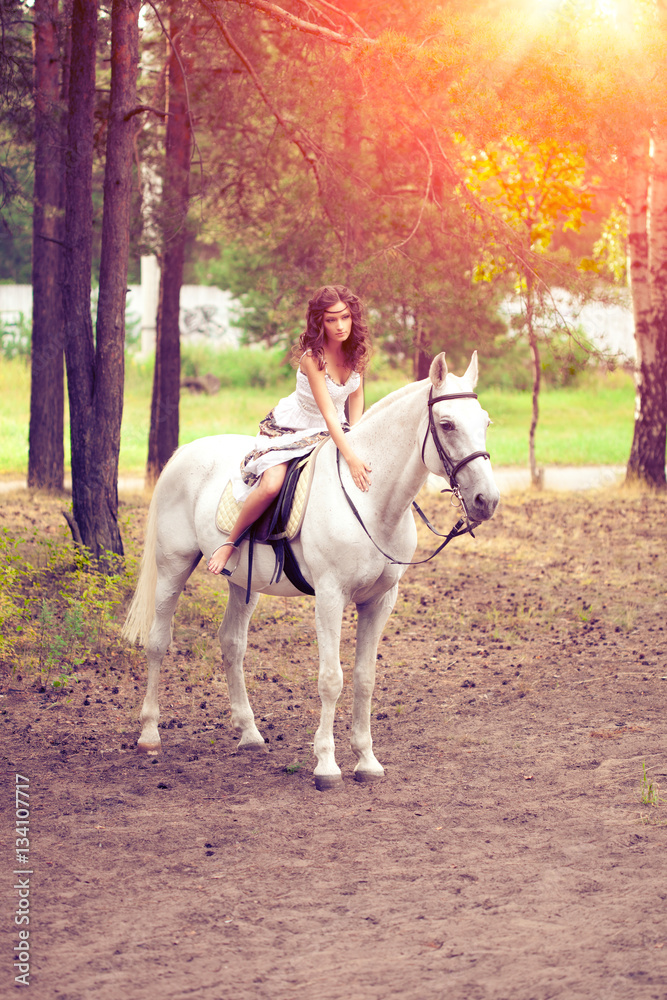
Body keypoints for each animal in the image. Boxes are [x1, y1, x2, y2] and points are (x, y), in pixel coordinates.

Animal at [123, 352, 500, 789]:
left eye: (485, 422)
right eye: (447, 424)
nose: (487, 500)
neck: (370, 499)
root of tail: (184, 453)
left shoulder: (380, 601)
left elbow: (365, 678)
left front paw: (366, 760)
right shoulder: (330, 597)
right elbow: (331, 679)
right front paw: (326, 765)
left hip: (243, 584)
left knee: (232, 643)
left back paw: (249, 734)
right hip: (173, 566)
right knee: (158, 642)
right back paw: (150, 735)